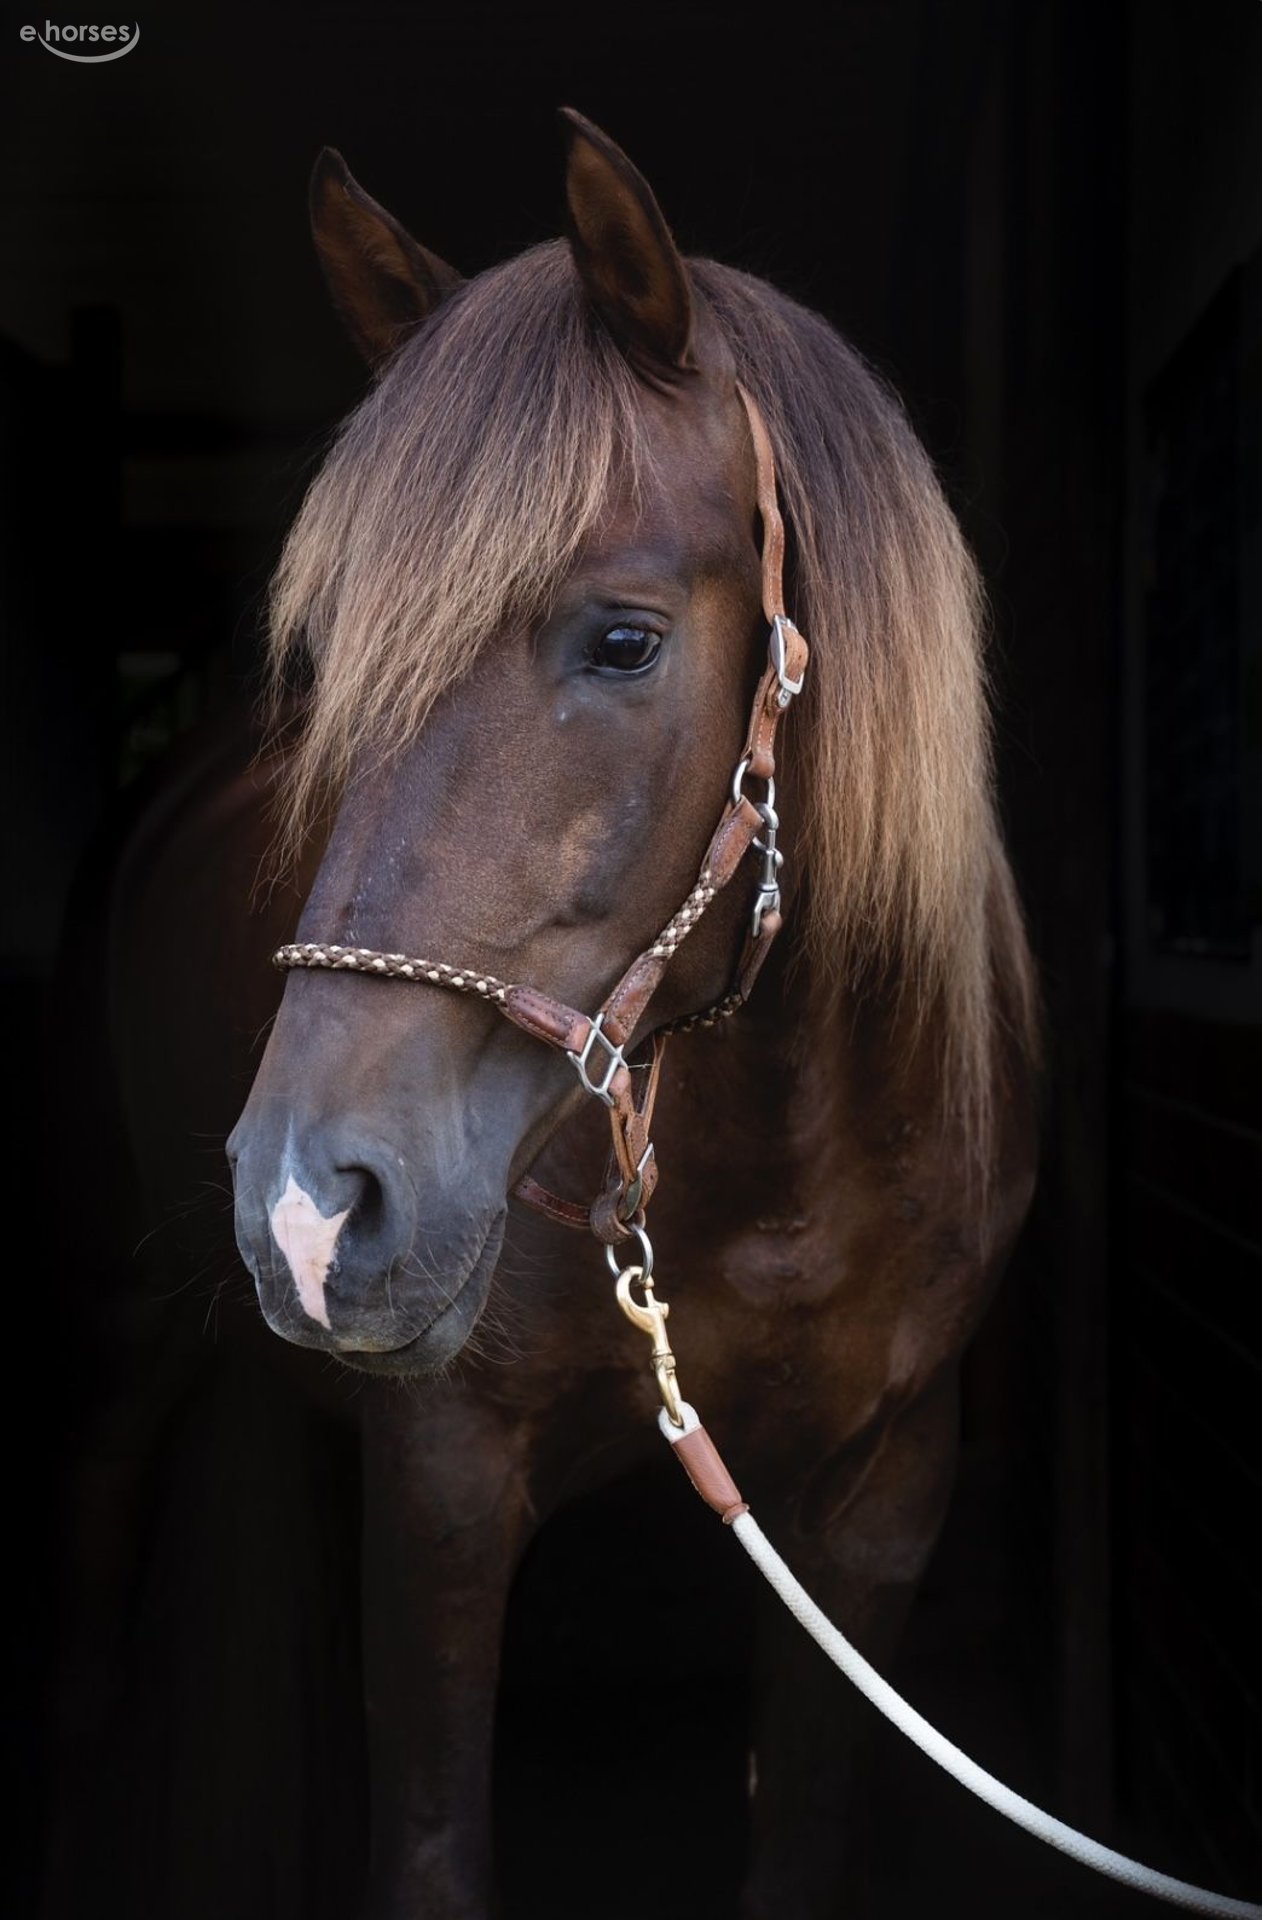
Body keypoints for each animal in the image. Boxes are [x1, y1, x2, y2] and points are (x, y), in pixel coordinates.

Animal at [75, 110, 1040, 1920]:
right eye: (325, 659)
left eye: (623, 641)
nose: (306, 1207)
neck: (764, 1165)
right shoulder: (445, 1488)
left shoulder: (877, 1500)